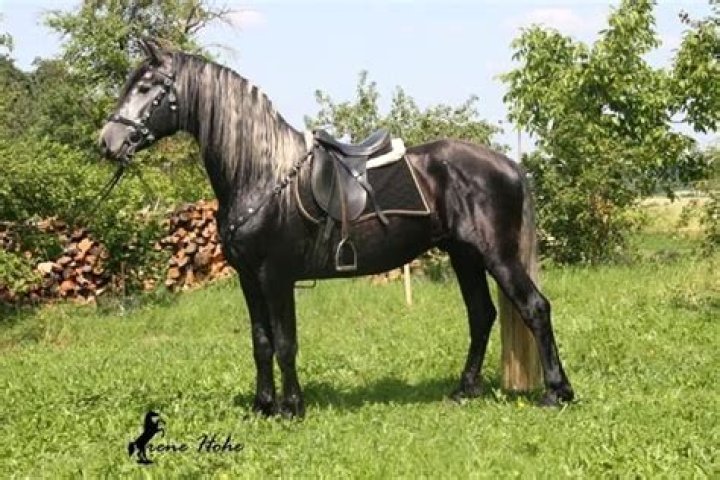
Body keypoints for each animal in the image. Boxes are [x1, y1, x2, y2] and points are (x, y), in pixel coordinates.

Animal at [99, 38, 573, 418]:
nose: (107, 142)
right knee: (481, 314)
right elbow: (261, 342)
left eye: (146, 87)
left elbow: (286, 343)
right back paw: (465, 389)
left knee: (535, 308)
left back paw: (557, 393)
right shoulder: (249, 280)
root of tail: (508, 164)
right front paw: (263, 406)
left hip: (497, 255)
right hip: (464, 255)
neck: (262, 176)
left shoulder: (275, 277)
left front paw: (291, 408)